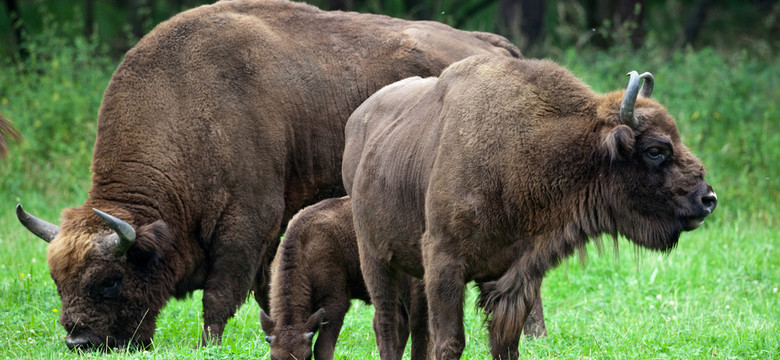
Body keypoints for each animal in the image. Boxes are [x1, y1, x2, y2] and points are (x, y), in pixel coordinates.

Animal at [342, 54, 720, 360]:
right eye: (655, 150)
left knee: (416, 326)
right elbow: (449, 342)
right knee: (387, 323)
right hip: (374, 256)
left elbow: (505, 343)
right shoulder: (444, 262)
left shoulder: (515, 276)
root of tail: (357, 120)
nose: (707, 198)